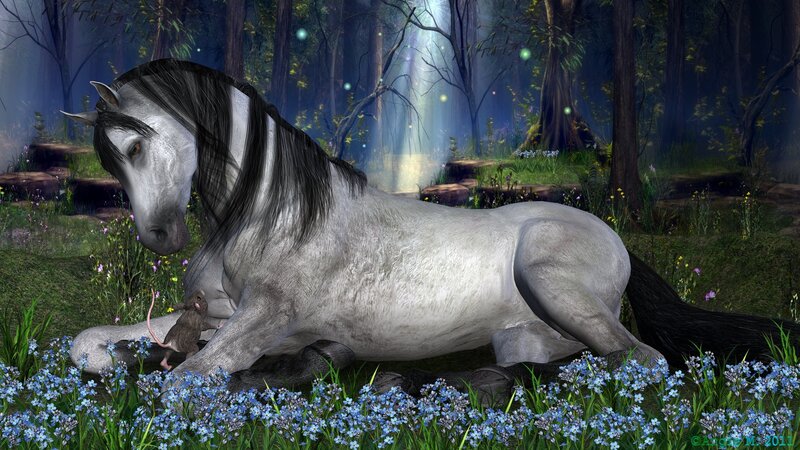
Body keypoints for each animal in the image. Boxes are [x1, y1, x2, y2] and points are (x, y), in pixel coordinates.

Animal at [65, 59, 800, 392]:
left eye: (133, 145)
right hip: (531, 325)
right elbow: (87, 343)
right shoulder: (212, 315)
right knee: (559, 354)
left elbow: (183, 381)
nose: (159, 238)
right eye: (110, 157)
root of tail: (615, 239)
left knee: (638, 361)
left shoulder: (262, 319)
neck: (272, 217)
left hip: (549, 278)